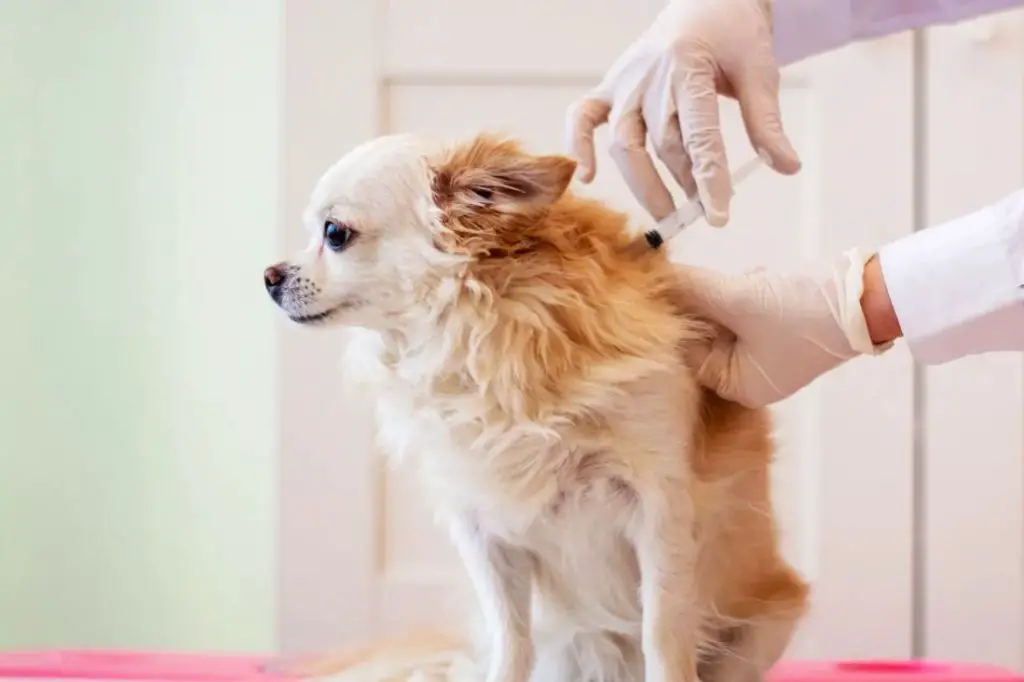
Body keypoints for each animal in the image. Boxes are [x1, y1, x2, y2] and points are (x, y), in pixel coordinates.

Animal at [264, 130, 806, 679]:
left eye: (334, 234)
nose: (269, 276)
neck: (490, 343)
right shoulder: (482, 530)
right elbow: (511, 637)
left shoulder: (661, 510)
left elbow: (664, 634)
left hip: (766, 626)